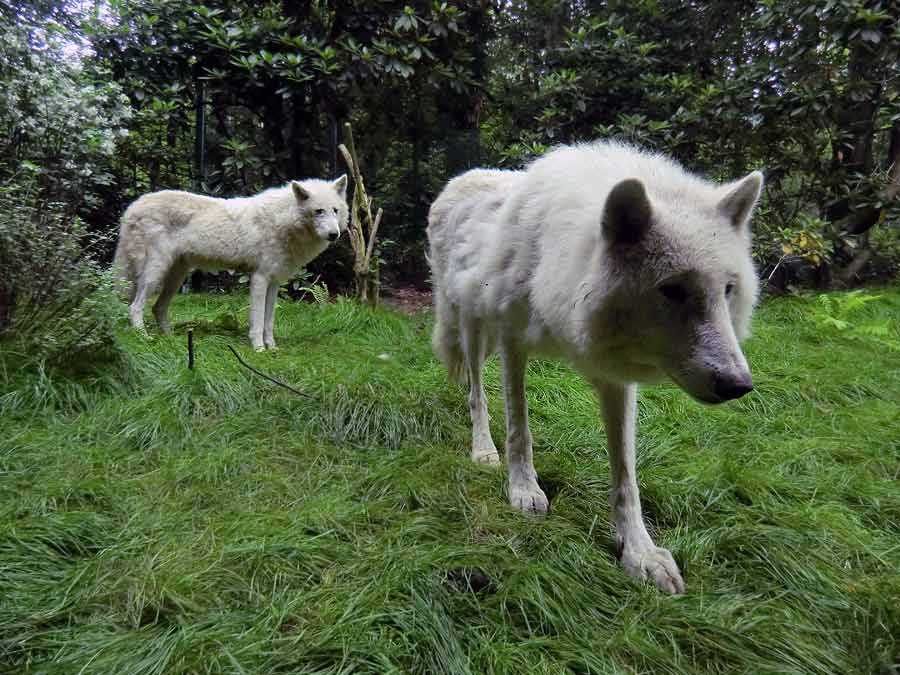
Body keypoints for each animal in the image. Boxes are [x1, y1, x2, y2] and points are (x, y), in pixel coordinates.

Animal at [116, 177, 348, 352]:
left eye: (335, 210)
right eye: (318, 211)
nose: (334, 235)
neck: (282, 220)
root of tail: (132, 207)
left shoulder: (274, 283)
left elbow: (269, 321)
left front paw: (272, 347)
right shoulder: (259, 278)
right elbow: (258, 321)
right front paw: (259, 349)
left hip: (176, 277)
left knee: (157, 308)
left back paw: (171, 339)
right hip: (154, 275)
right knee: (134, 307)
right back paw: (144, 338)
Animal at [426, 141, 764, 592]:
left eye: (727, 290)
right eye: (673, 290)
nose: (738, 384)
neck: (558, 263)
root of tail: (463, 176)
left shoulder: (614, 374)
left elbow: (626, 475)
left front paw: (639, 552)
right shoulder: (514, 341)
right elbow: (519, 428)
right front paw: (523, 489)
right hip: (472, 328)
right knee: (476, 394)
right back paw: (483, 449)